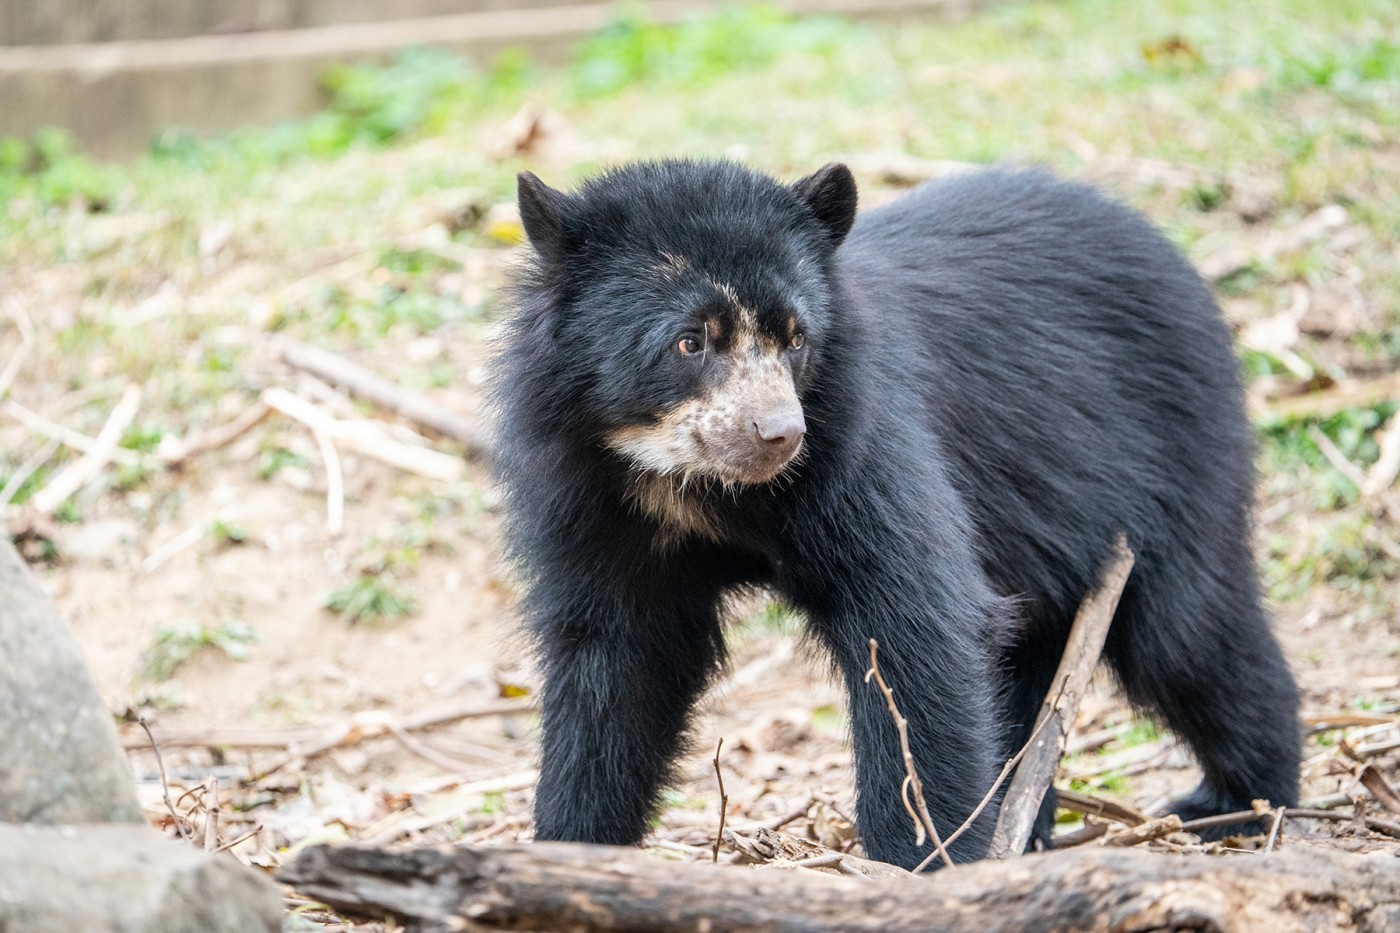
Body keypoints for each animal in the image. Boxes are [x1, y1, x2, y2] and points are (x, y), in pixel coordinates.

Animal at [492, 158, 1299, 862]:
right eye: (691, 341)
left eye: (796, 337)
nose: (779, 434)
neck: (695, 487)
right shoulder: (592, 499)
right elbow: (616, 662)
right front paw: (571, 846)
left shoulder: (863, 451)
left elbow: (916, 628)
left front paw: (919, 859)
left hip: (1170, 458)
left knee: (1186, 633)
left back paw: (1237, 805)